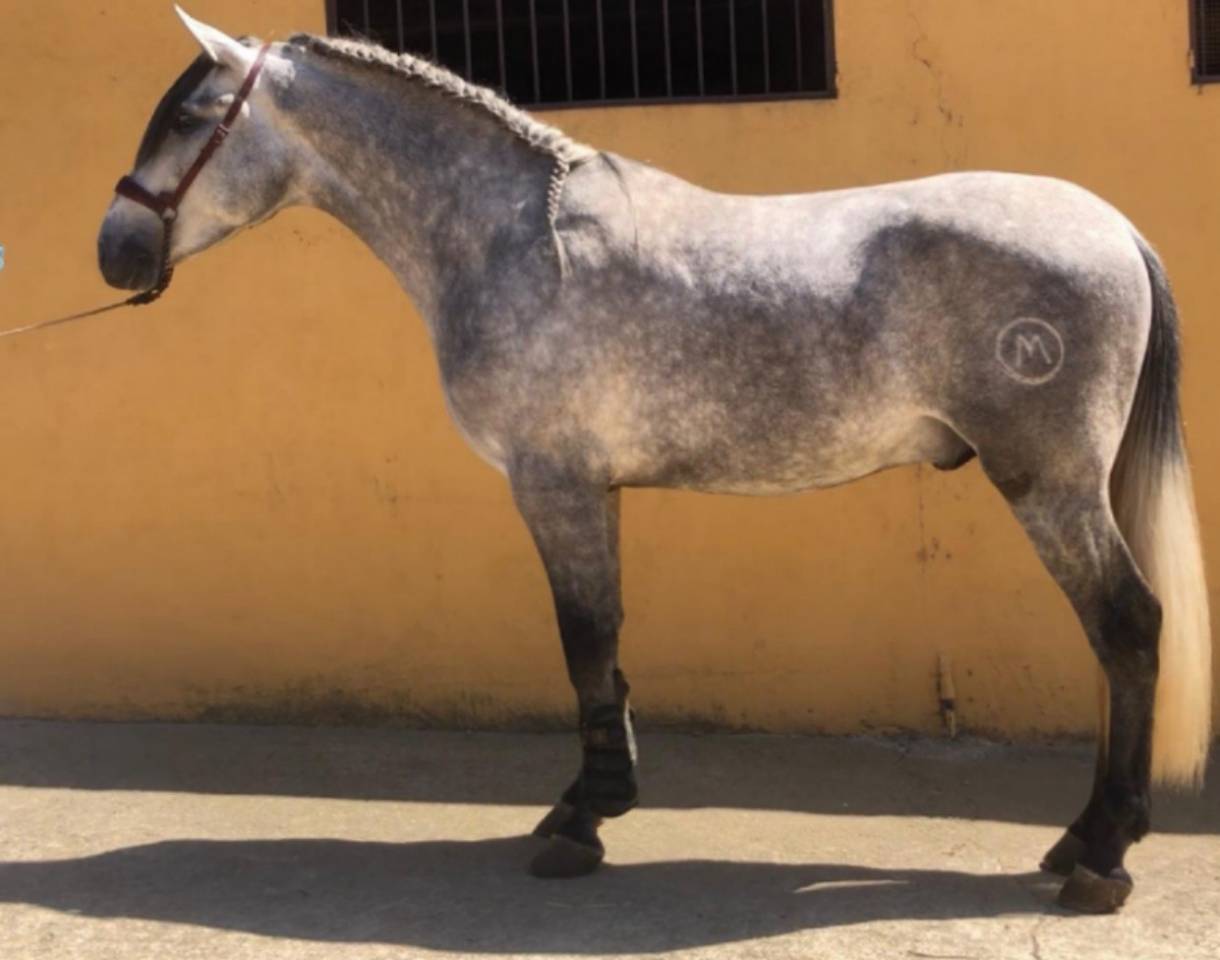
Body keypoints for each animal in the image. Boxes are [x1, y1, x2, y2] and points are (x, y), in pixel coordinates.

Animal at [96, 8, 1211, 914]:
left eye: (191, 116)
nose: (114, 251)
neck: (511, 240)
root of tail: (1111, 226)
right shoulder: (594, 489)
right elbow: (607, 640)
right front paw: (587, 801)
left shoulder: (551, 484)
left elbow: (581, 637)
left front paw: (583, 823)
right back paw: (1081, 835)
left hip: (1048, 485)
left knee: (1126, 627)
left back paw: (1100, 859)